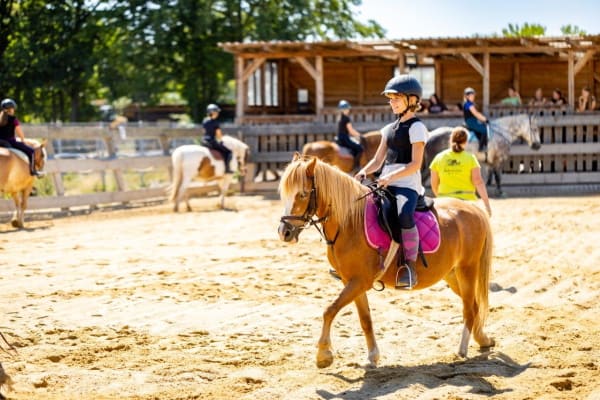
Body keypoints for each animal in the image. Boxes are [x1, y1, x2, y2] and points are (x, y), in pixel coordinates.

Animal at [278, 155, 494, 368]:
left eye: (303, 194)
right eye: (284, 194)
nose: (284, 232)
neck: (349, 223)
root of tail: (473, 209)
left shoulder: (360, 281)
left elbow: (329, 310)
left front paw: (323, 354)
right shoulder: (352, 282)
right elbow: (365, 319)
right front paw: (372, 356)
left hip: (467, 269)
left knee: (469, 308)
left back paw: (462, 349)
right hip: (452, 274)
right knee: (474, 305)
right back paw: (483, 339)